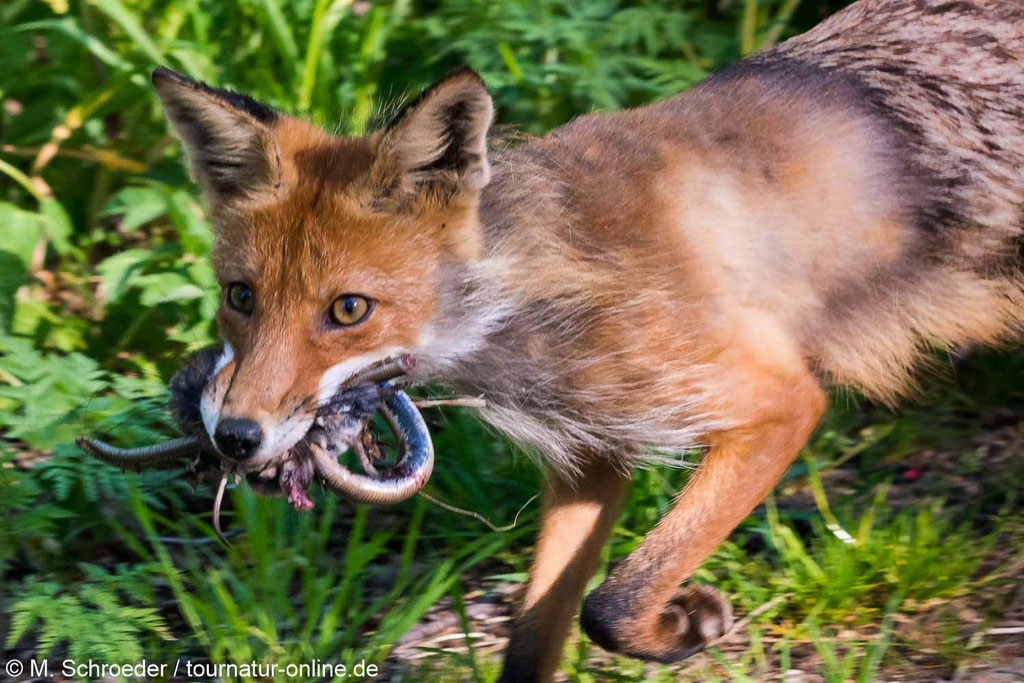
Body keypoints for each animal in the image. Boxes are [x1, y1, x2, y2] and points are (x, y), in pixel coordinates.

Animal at [144, 0, 1024, 679]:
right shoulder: (590, 459)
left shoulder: (778, 404)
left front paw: (685, 625)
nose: (233, 437)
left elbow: (613, 601)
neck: (534, 299)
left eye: (349, 309)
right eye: (241, 298)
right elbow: (537, 635)